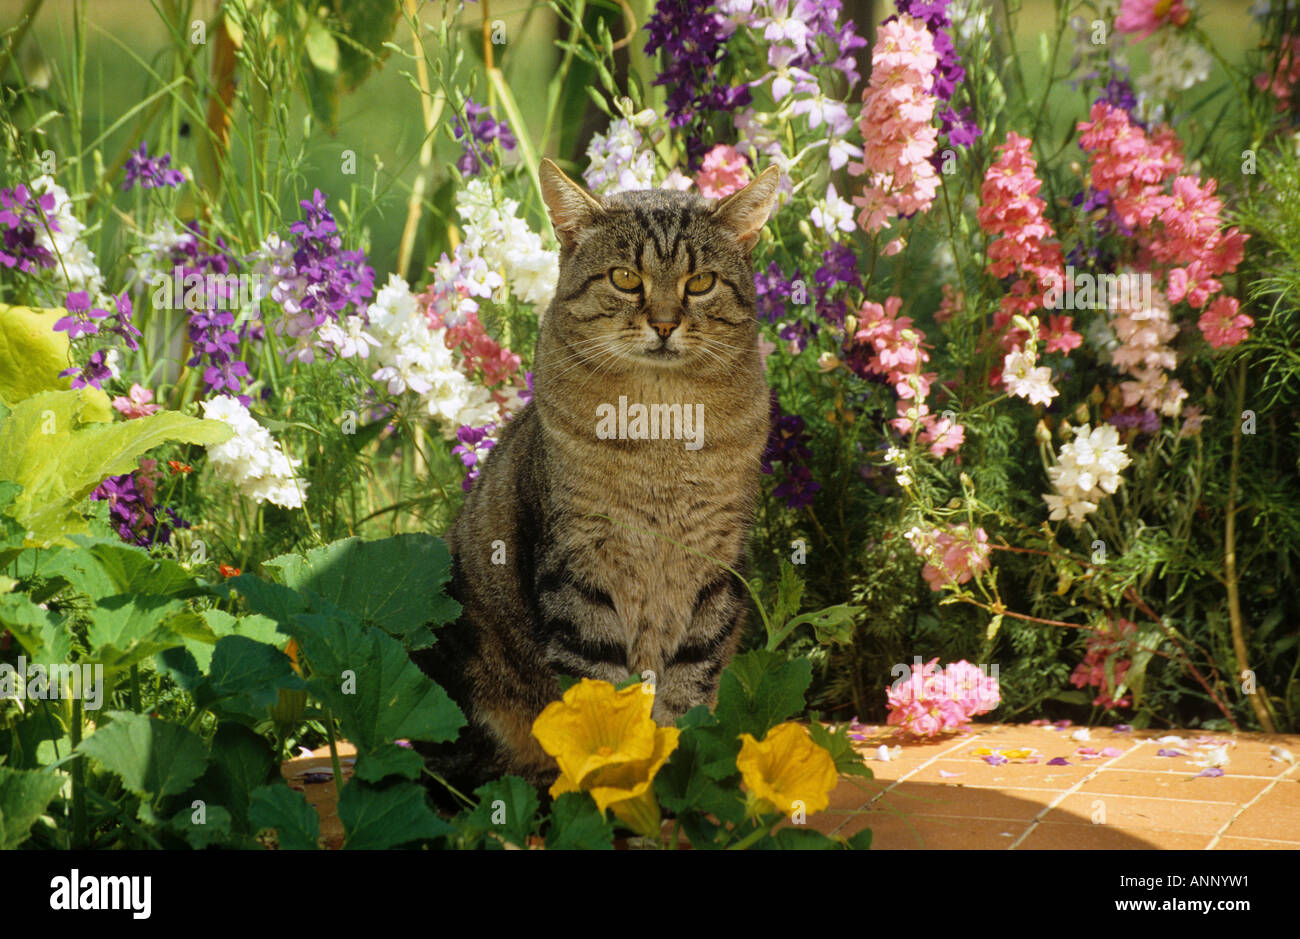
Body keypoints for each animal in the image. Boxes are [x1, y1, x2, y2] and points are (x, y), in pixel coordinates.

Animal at [416, 157, 774, 785]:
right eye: (626, 279)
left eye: (700, 282)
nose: (664, 323)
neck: (661, 428)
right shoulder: (578, 568)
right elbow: (599, 693)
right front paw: (618, 783)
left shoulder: (717, 566)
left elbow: (687, 690)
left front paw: (673, 774)